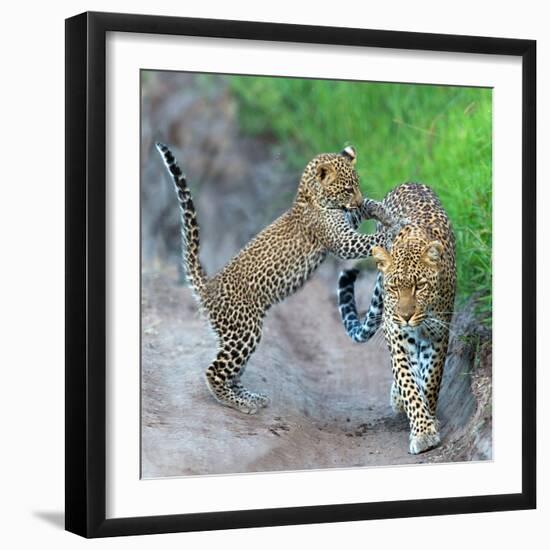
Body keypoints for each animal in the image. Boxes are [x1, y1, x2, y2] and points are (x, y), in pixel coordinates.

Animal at [338, 183, 460, 454]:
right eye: (393, 288)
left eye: (420, 287)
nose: (406, 316)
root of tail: (411, 182)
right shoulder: (396, 334)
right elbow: (407, 380)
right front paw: (423, 430)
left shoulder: (438, 334)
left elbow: (431, 378)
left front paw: (428, 419)